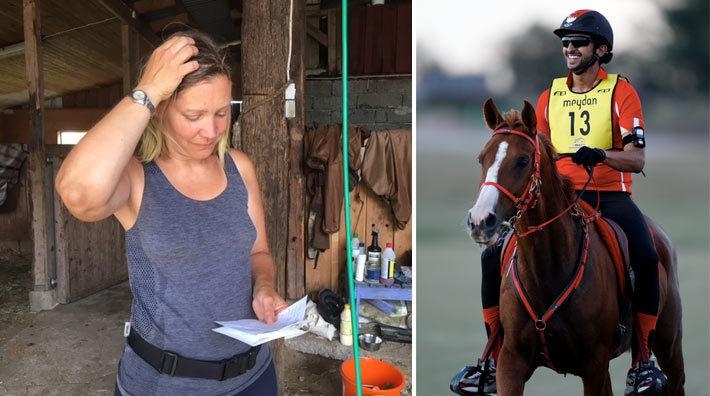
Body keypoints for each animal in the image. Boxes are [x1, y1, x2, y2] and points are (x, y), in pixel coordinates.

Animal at [468, 98, 684, 392]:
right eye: (482, 158)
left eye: (523, 160)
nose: (481, 220)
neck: (545, 272)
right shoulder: (511, 361)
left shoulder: (593, 364)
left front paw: (588, 154)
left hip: (669, 346)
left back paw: (645, 376)